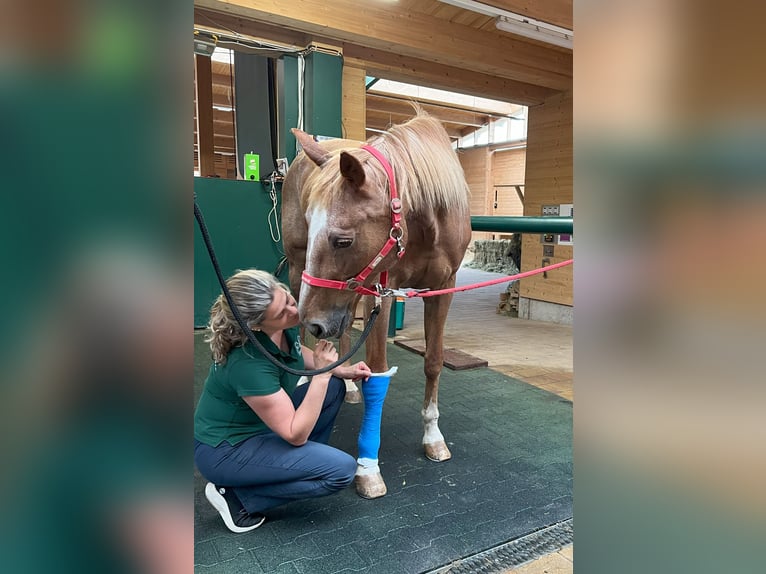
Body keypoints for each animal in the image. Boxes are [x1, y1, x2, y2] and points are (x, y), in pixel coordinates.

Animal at [281, 111, 471, 499]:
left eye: (342, 240)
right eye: (312, 227)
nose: (314, 320)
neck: (424, 223)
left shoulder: (442, 288)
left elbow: (433, 362)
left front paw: (433, 437)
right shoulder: (382, 291)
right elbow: (378, 370)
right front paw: (368, 469)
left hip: (350, 293)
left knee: (338, 334)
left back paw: (347, 383)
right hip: (299, 271)